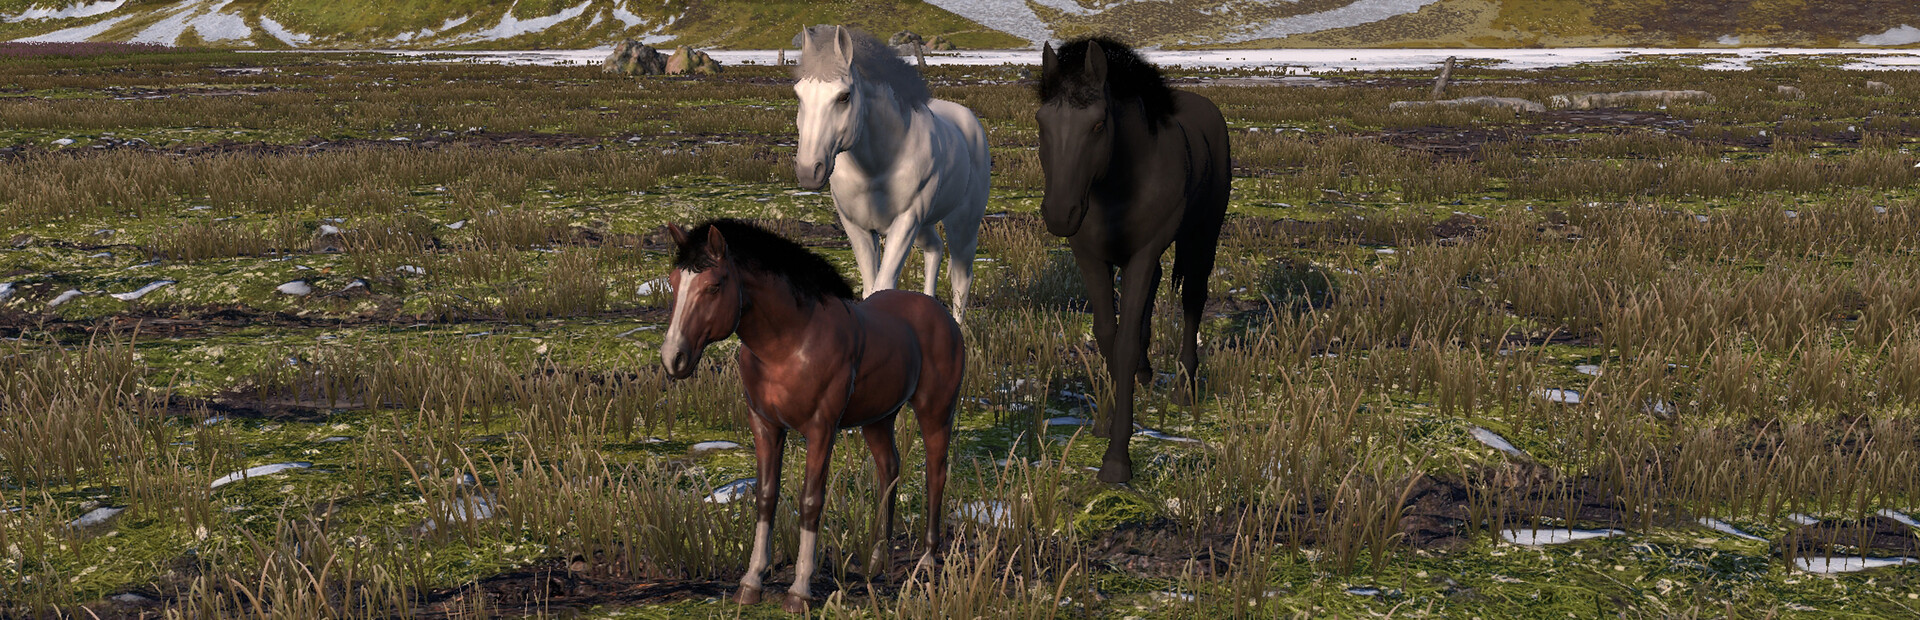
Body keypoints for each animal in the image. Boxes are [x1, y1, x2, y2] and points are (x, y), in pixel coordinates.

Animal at [659, 219, 965, 612]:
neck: (788, 344)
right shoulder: (765, 425)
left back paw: (926, 560)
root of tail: (941, 314)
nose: (673, 358)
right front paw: (750, 584)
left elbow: (809, 501)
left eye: (713, 285)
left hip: (935, 412)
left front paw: (799, 590)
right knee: (889, 469)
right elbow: (766, 496)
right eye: (673, 282)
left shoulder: (821, 427)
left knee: (935, 472)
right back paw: (877, 559)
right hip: (878, 419)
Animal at [793, 25, 991, 321]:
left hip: (962, 223)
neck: (875, 168)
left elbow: (883, 286)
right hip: (925, 225)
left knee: (961, 277)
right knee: (935, 249)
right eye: (798, 95)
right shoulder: (857, 227)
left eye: (844, 96)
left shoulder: (906, 222)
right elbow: (869, 288)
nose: (808, 170)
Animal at [1035, 38, 1230, 484]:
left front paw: (1116, 460)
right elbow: (1107, 334)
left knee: (1193, 296)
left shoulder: (1142, 253)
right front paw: (1104, 420)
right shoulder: (1089, 256)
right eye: (1041, 123)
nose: (1060, 213)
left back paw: (1184, 388)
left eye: (1097, 125)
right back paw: (1145, 373)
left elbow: (1122, 343)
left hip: (1202, 234)